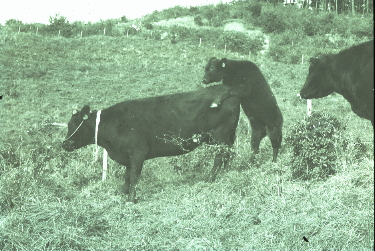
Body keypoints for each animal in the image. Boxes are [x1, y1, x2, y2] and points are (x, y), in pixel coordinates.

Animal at [62, 85, 241, 203]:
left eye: (72, 124)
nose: (64, 144)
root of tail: (224, 89)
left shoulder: (138, 152)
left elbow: (134, 176)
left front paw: (131, 199)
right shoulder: (128, 156)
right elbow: (126, 176)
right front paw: (123, 192)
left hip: (220, 136)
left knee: (220, 156)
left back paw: (210, 179)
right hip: (228, 136)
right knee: (229, 154)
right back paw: (226, 174)